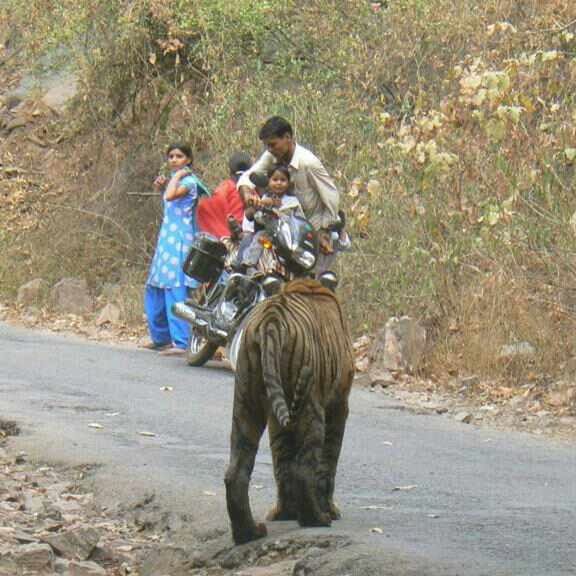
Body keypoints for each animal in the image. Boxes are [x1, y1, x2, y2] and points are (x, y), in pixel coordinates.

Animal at [223, 278, 354, 544]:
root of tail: (271, 319)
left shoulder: (276, 419)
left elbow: (281, 462)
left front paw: (284, 513)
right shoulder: (339, 404)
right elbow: (328, 461)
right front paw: (329, 510)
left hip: (246, 401)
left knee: (236, 471)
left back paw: (249, 533)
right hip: (311, 406)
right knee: (305, 467)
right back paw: (316, 519)